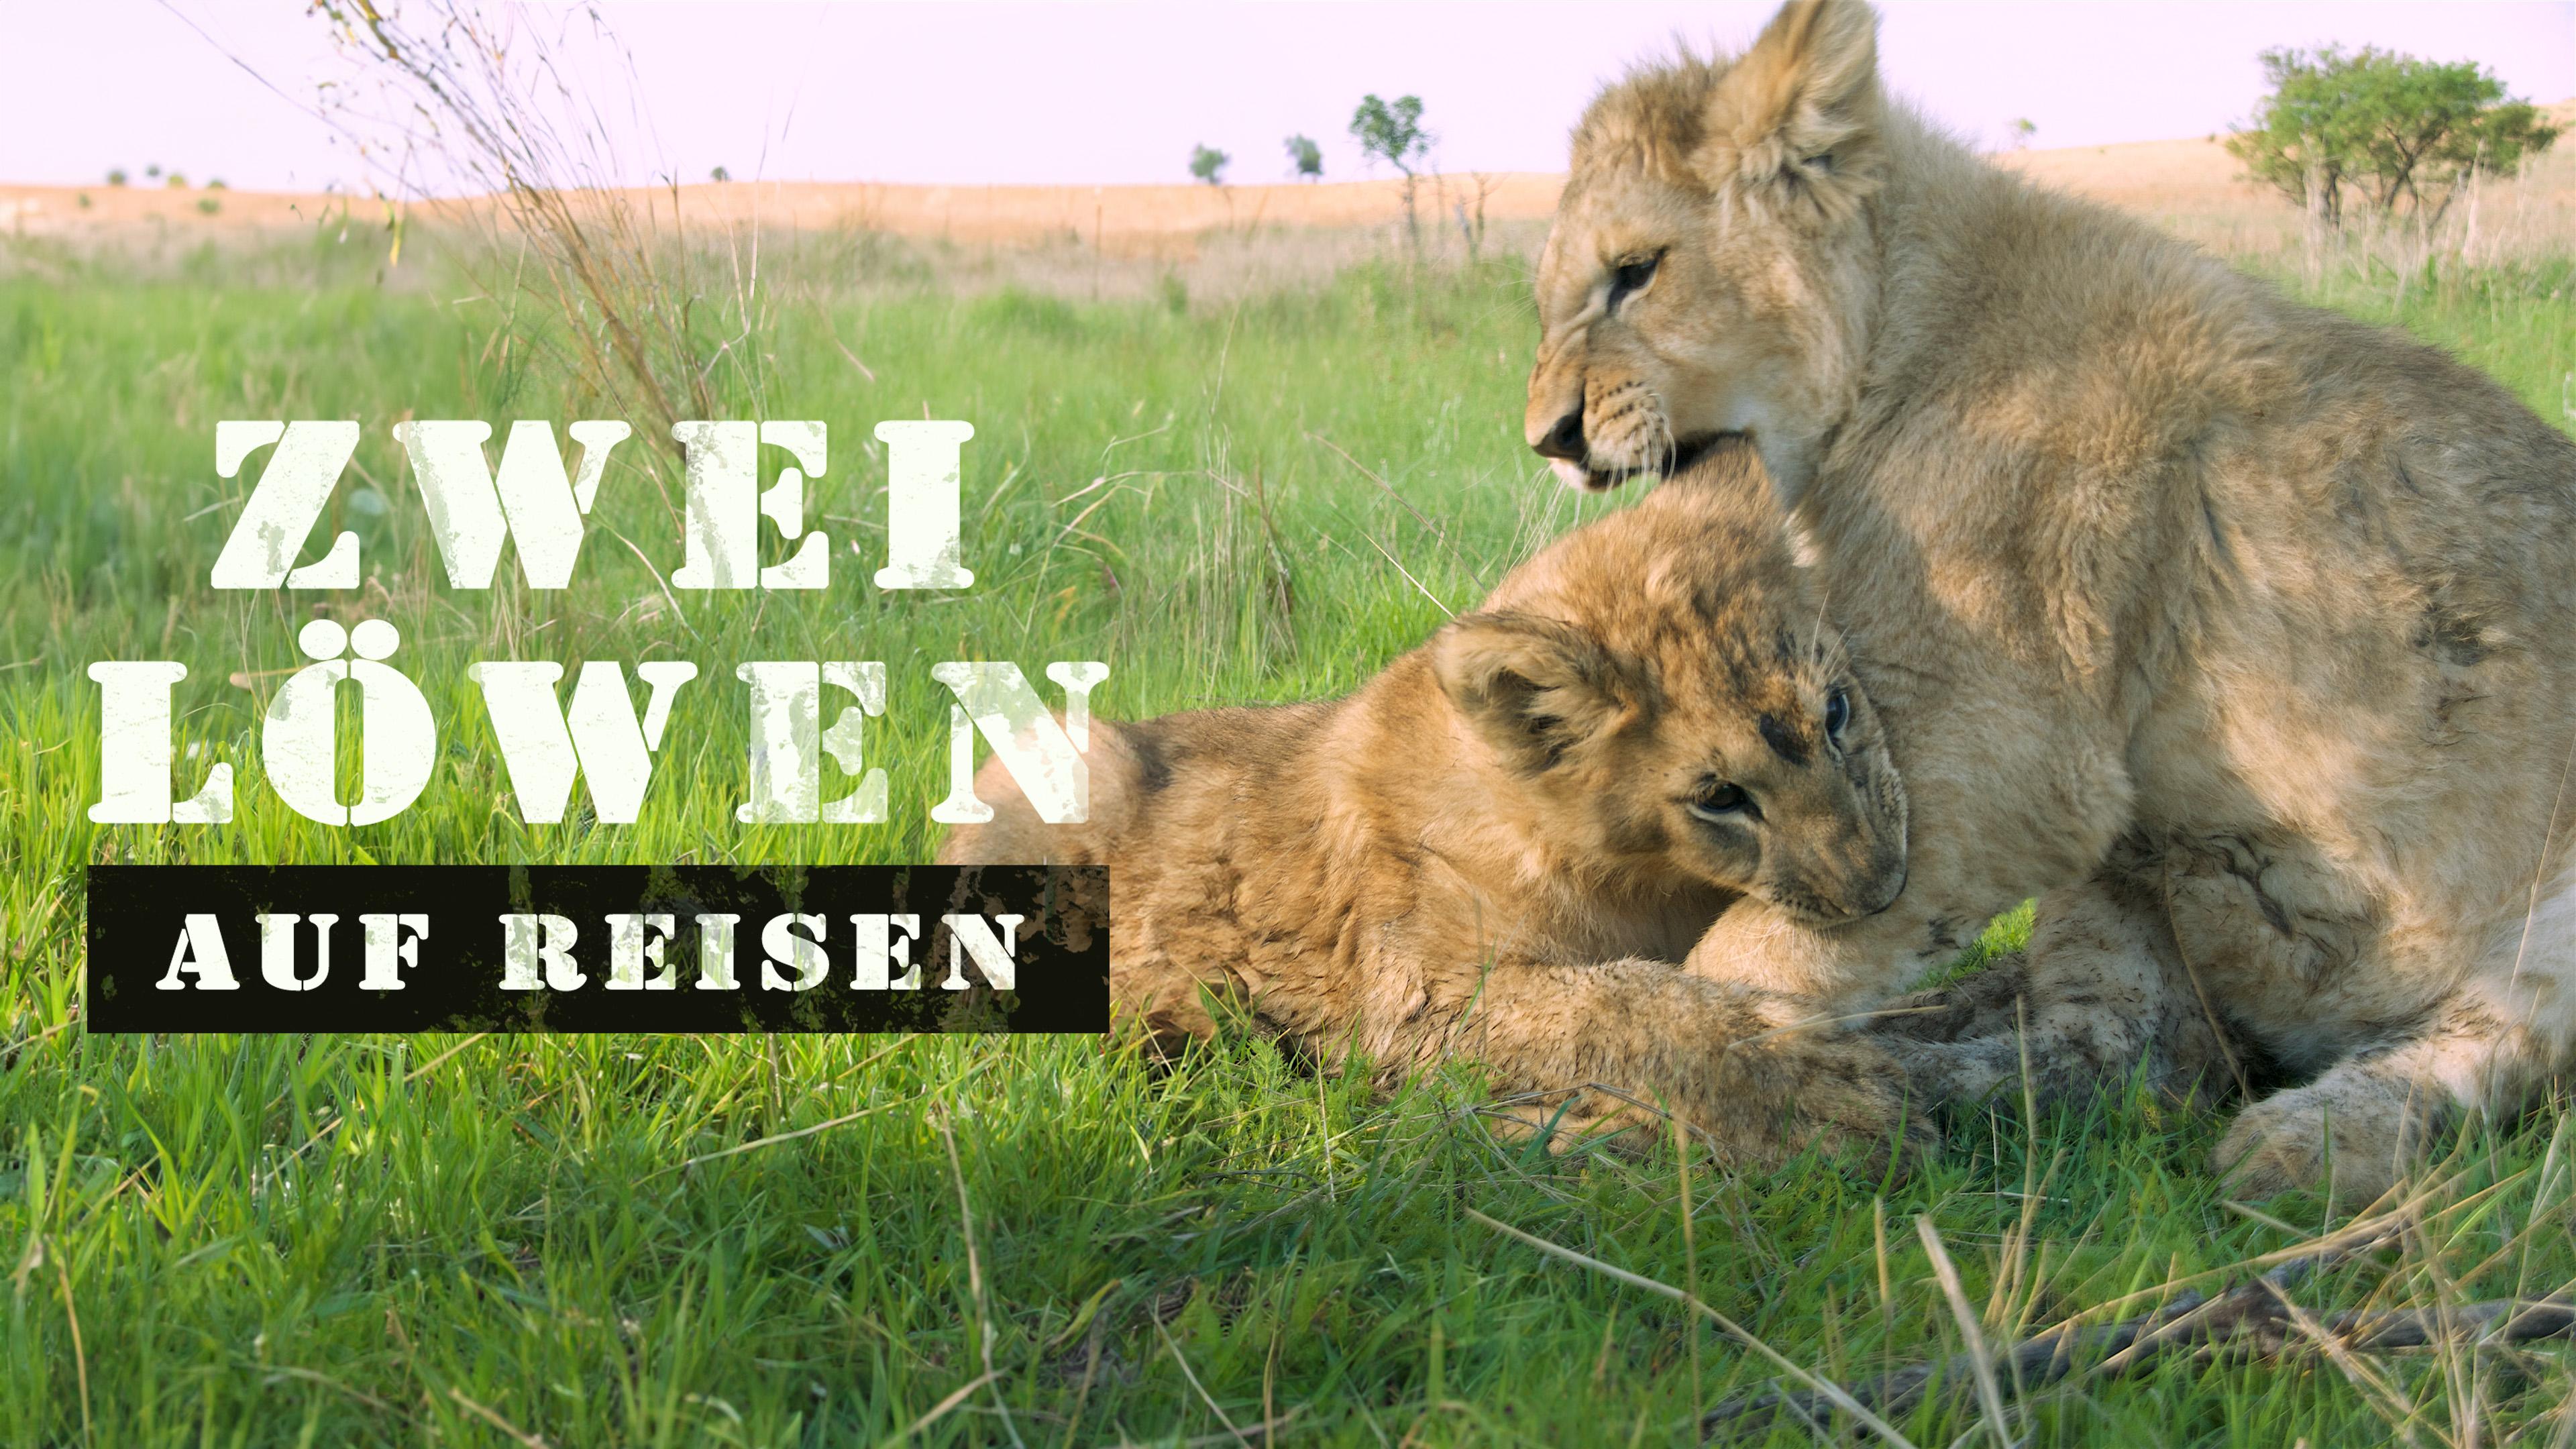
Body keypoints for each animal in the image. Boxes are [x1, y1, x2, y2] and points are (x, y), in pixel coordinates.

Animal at [940, 443, 1928, 1167]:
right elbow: (1617, 1007)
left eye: (1837, 712)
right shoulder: (1413, 997)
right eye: (1720, 796)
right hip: (1062, 758)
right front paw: (1823, 1093)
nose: (1883, 888)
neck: (1643, 878)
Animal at [1524, 0, 2576, 1202]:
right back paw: (1916, 1078)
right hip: (2138, 876)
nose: (1547, 438)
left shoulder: (2003, 759)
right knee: (2117, 1055)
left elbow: (1750, 951)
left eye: (1635, 271)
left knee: (2483, 1051)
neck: (1893, 339)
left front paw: (1687, 1102)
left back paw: (2319, 1139)